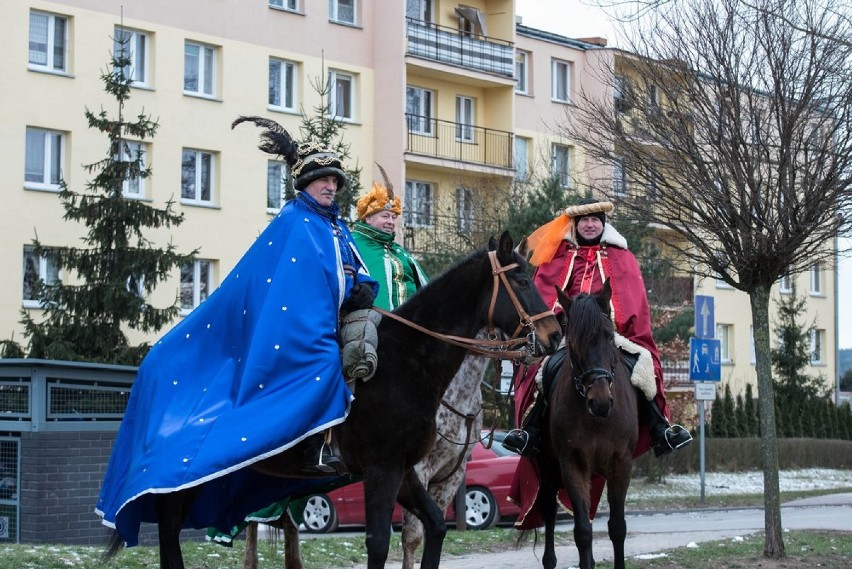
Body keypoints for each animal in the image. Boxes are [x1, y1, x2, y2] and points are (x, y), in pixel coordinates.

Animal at [106, 231, 564, 568]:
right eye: (522, 281)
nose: (553, 335)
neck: (408, 360)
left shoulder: (405, 470)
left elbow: (433, 528)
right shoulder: (384, 469)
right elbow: (379, 542)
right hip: (177, 482)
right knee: (171, 532)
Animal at [540, 282, 640, 568]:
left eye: (608, 336)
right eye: (573, 341)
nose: (600, 402)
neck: (596, 420)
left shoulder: (621, 463)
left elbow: (617, 527)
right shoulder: (571, 464)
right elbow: (582, 531)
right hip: (547, 467)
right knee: (549, 511)